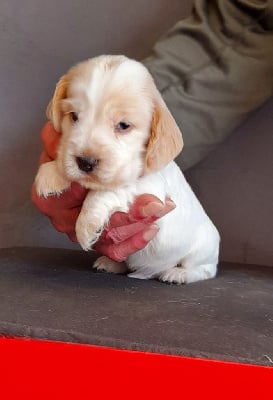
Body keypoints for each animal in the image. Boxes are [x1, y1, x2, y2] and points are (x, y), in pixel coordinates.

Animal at [35, 55, 219, 284]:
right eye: (74, 116)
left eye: (123, 125)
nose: (85, 162)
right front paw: (50, 174)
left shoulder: (151, 189)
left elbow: (108, 190)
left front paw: (86, 224)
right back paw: (111, 263)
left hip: (202, 251)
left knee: (204, 270)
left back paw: (177, 274)